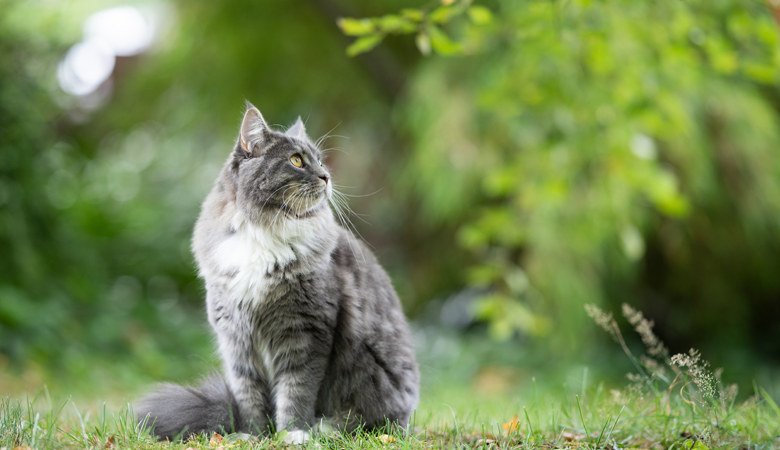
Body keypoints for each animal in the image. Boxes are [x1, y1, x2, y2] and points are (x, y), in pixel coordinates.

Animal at [137, 103, 424, 442]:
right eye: (296, 160)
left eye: (320, 160)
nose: (327, 176)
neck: (262, 231)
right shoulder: (236, 338)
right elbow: (249, 394)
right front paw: (254, 436)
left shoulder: (305, 331)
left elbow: (296, 390)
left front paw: (293, 434)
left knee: (369, 421)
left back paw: (327, 428)